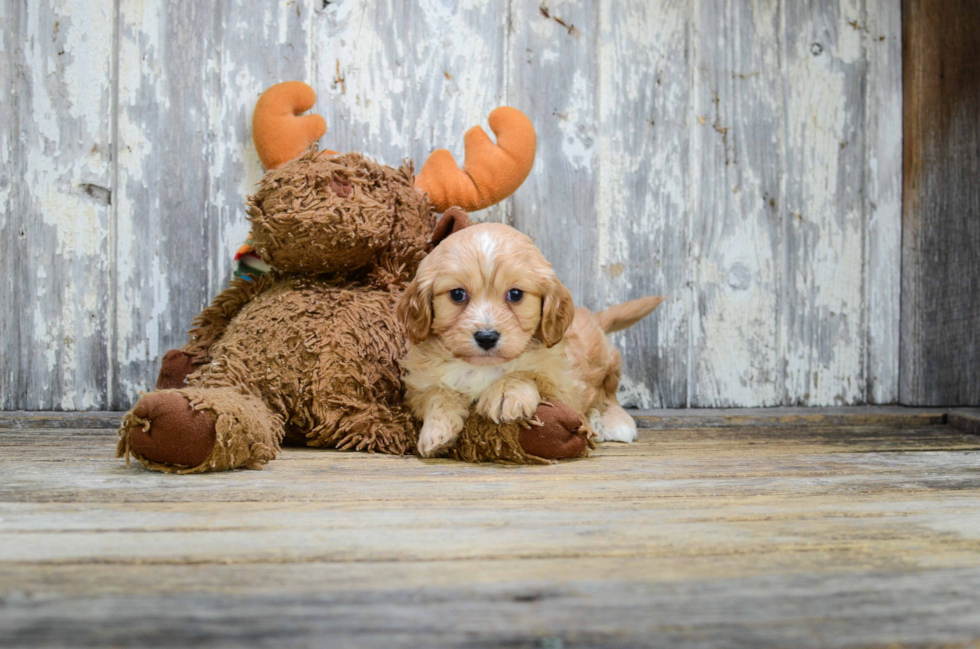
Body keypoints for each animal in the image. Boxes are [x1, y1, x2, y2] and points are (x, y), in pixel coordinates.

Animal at [394, 221, 664, 456]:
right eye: (457, 294)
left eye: (515, 294)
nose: (486, 337)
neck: (483, 367)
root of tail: (591, 318)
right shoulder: (418, 386)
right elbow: (438, 394)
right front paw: (436, 431)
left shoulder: (564, 385)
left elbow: (528, 373)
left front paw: (506, 393)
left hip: (606, 362)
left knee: (607, 394)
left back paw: (611, 421)